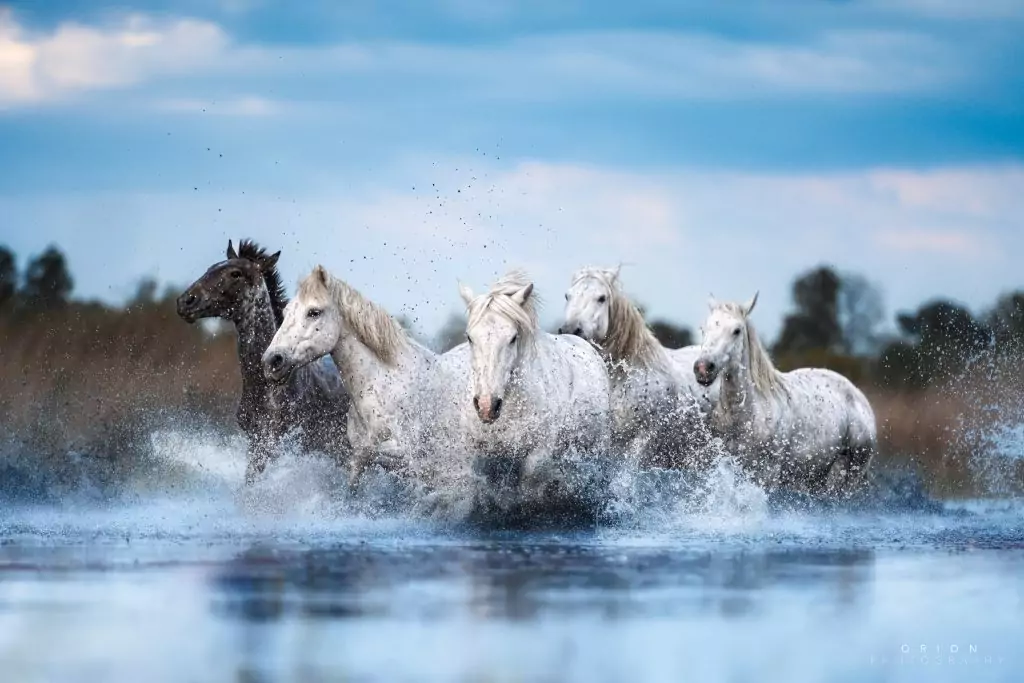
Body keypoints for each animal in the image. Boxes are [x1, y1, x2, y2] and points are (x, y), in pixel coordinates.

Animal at [176, 240, 351, 484]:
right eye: (211, 267)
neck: (268, 385)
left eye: (236, 273)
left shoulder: (272, 444)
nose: (186, 301)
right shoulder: (255, 441)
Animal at [261, 265, 470, 489]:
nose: (272, 361)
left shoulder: (408, 455)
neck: (383, 387)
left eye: (314, 312)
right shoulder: (360, 459)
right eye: (285, 312)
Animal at [460, 270, 613, 524]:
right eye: (470, 337)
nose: (487, 406)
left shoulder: (539, 454)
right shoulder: (481, 455)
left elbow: (529, 484)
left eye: (512, 338)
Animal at [693, 293, 877, 497]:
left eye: (737, 330)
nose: (703, 368)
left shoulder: (768, 474)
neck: (749, 414)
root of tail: (858, 395)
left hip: (852, 471)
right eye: (704, 329)